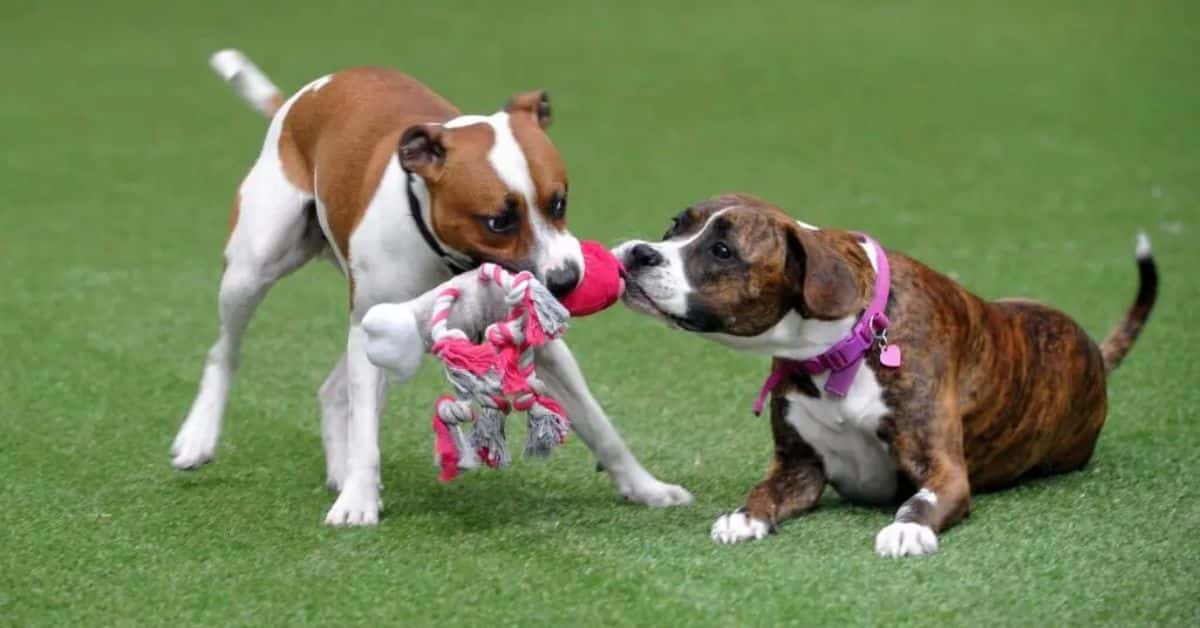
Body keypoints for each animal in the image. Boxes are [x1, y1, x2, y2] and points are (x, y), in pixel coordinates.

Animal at [172, 51, 691, 528]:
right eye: (499, 222)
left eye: (559, 203)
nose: (568, 279)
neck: (449, 254)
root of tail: (301, 99)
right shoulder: (368, 325)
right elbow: (366, 433)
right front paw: (359, 502)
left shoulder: (540, 345)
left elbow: (599, 423)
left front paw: (644, 487)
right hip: (252, 269)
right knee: (225, 351)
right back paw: (200, 436)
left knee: (335, 390)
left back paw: (340, 469)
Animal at [614, 195, 1156, 554]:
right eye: (674, 226)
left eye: (723, 252)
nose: (639, 252)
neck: (841, 350)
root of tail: (1093, 350)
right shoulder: (798, 467)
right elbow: (764, 492)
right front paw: (744, 517)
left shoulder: (946, 470)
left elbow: (922, 501)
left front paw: (908, 528)